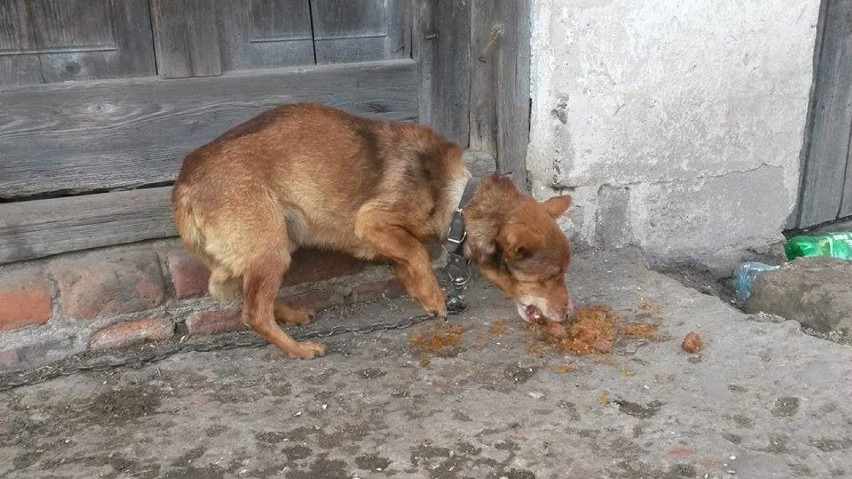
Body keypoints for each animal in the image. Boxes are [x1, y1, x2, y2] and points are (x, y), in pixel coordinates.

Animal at [172, 104, 572, 360]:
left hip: (278, 239)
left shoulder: (384, 239)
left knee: (251, 295)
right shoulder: (372, 222)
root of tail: (185, 184)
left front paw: (419, 292)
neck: (460, 199)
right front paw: (434, 297)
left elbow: (406, 259)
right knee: (253, 312)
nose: (569, 315)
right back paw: (298, 349)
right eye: (549, 277)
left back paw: (291, 316)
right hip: (271, 246)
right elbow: (417, 252)